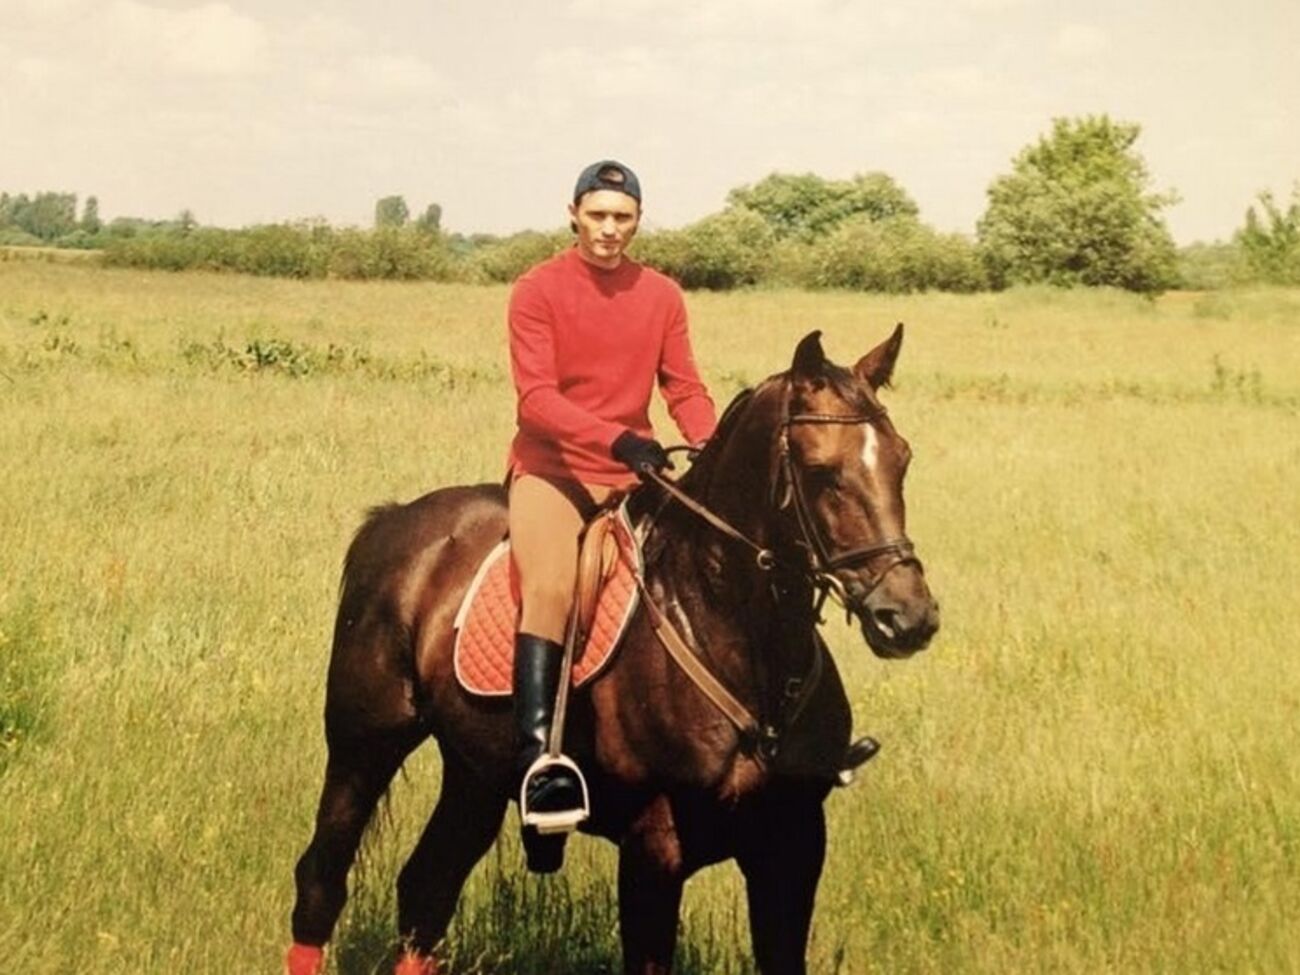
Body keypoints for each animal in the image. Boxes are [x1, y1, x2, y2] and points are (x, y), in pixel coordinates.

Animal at [287, 326, 940, 975]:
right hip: (364, 744)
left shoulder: (795, 844)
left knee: (427, 889)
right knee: (322, 879)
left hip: (475, 772)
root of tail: (395, 521)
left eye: (904, 459)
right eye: (821, 470)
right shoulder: (656, 844)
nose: (907, 617)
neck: (739, 641)